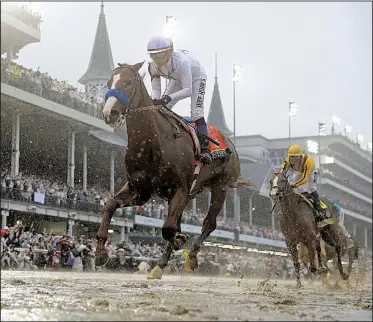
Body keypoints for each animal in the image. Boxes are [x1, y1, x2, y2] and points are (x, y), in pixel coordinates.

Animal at [94, 61, 251, 278]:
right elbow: (110, 204)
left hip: (220, 187)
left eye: (128, 82)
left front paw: (180, 240)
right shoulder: (140, 191)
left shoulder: (179, 189)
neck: (152, 142)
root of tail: (231, 146)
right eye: (110, 82)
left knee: (208, 223)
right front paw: (100, 252)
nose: (109, 113)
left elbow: (168, 229)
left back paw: (191, 256)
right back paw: (159, 266)